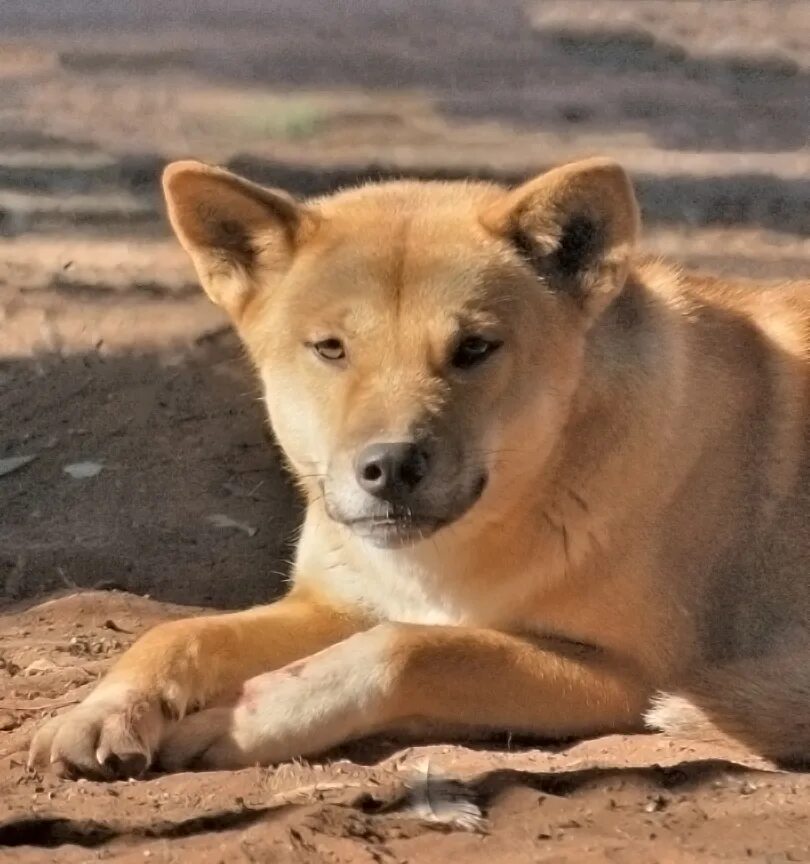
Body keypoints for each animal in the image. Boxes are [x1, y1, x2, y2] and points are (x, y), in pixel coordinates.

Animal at [28, 159, 808, 780]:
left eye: (474, 348)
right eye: (331, 348)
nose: (391, 466)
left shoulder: (627, 673)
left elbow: (409, 649)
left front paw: (239, 720)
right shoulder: (334, 604)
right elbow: (178, 634)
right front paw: (106, 709)